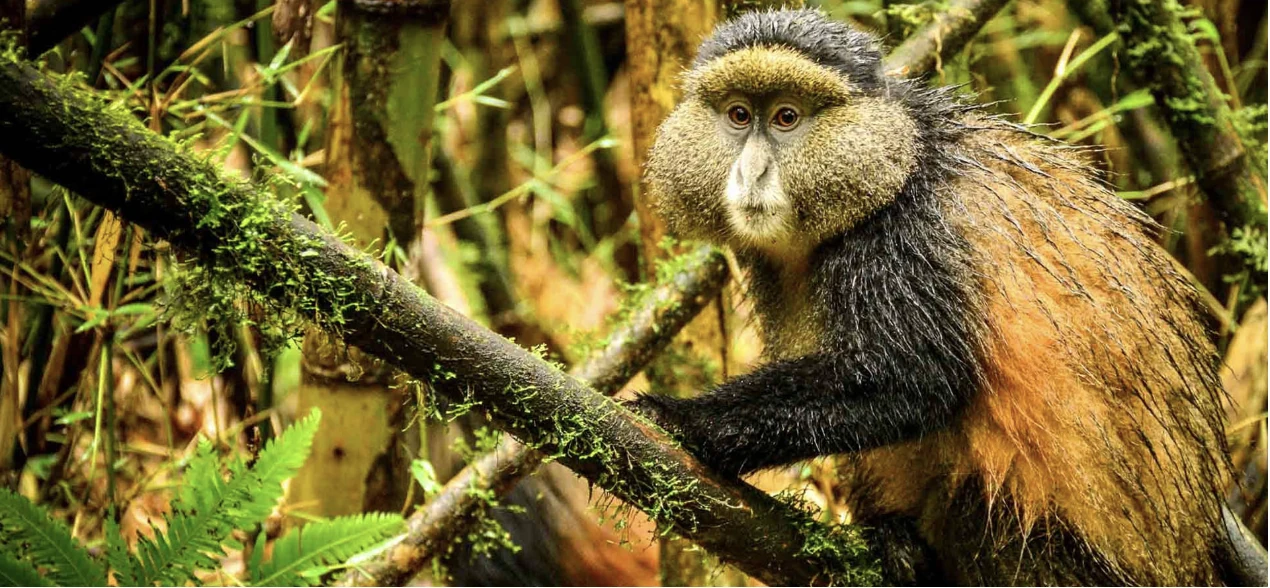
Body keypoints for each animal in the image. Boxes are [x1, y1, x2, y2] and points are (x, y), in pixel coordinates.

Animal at [627, 9, 1262, 585]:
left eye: (787, 118)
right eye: (739, 115)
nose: (752, 173)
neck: (897, 159)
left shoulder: (904, 239)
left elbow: (915, 379)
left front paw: (679, 419)